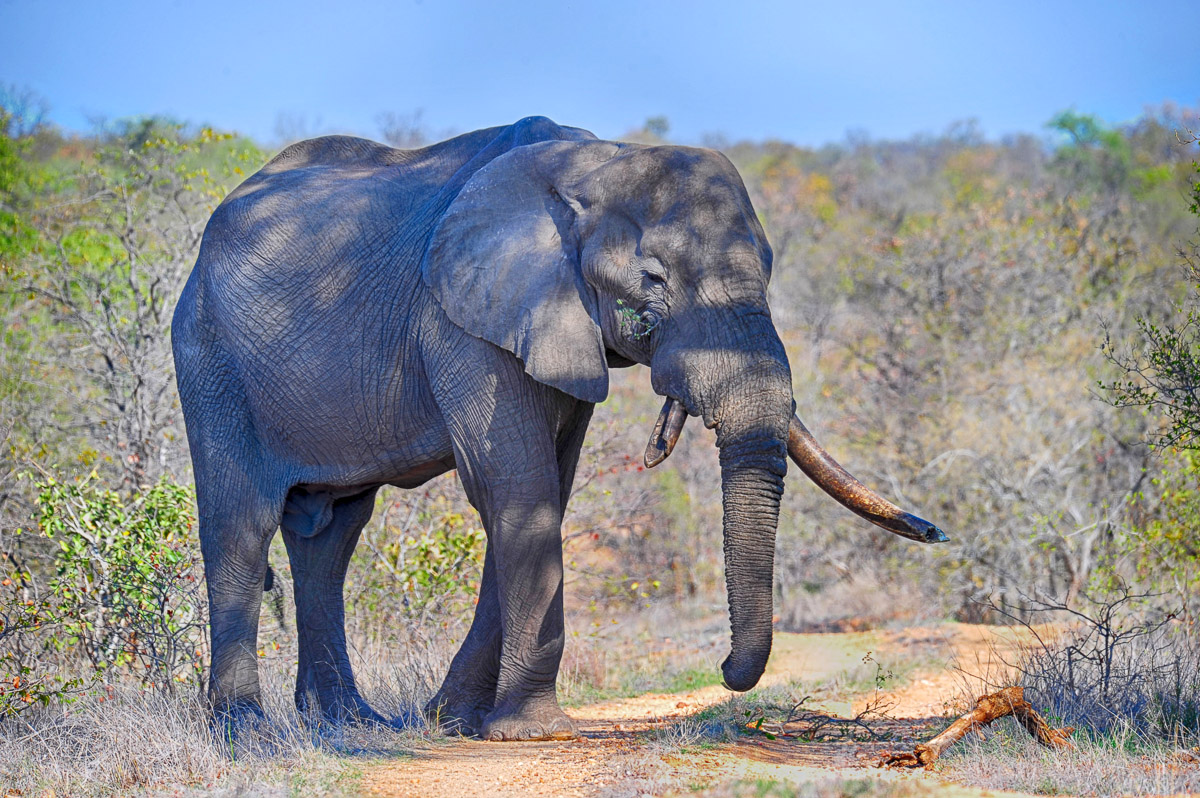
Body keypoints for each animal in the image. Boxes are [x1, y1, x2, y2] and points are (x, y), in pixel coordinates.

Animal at [171, 115, 946, 742]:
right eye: (653, 279)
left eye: (770, 267)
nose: (727, 670)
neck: (595, 160)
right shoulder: (462, 316)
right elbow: (520, 487)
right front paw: (531, 731)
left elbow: (544, 490)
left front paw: (455, 721)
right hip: (210, 357)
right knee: (241, 528)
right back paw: (247, 734)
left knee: (330, 538)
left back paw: (349, 724)